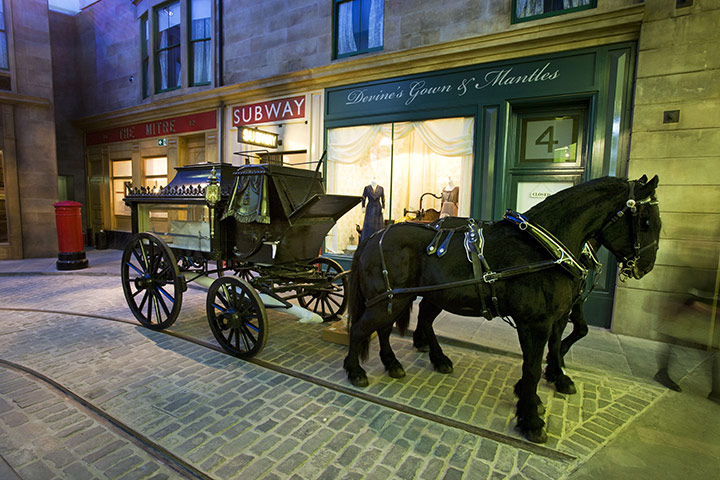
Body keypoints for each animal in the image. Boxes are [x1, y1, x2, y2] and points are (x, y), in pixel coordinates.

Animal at [346, 175, 660, 442]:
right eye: (645, 221)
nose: (646, 267)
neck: (545, 248)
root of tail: (374, 236)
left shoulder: (557, 315)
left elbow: (555, 347)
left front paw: (548, 383)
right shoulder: (535, 322)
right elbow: (531, 367)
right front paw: (531, 418)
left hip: (409, 298)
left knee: (394, 327)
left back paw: (404, 362)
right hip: (390, 299)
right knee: (362, 329)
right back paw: (355, 370)